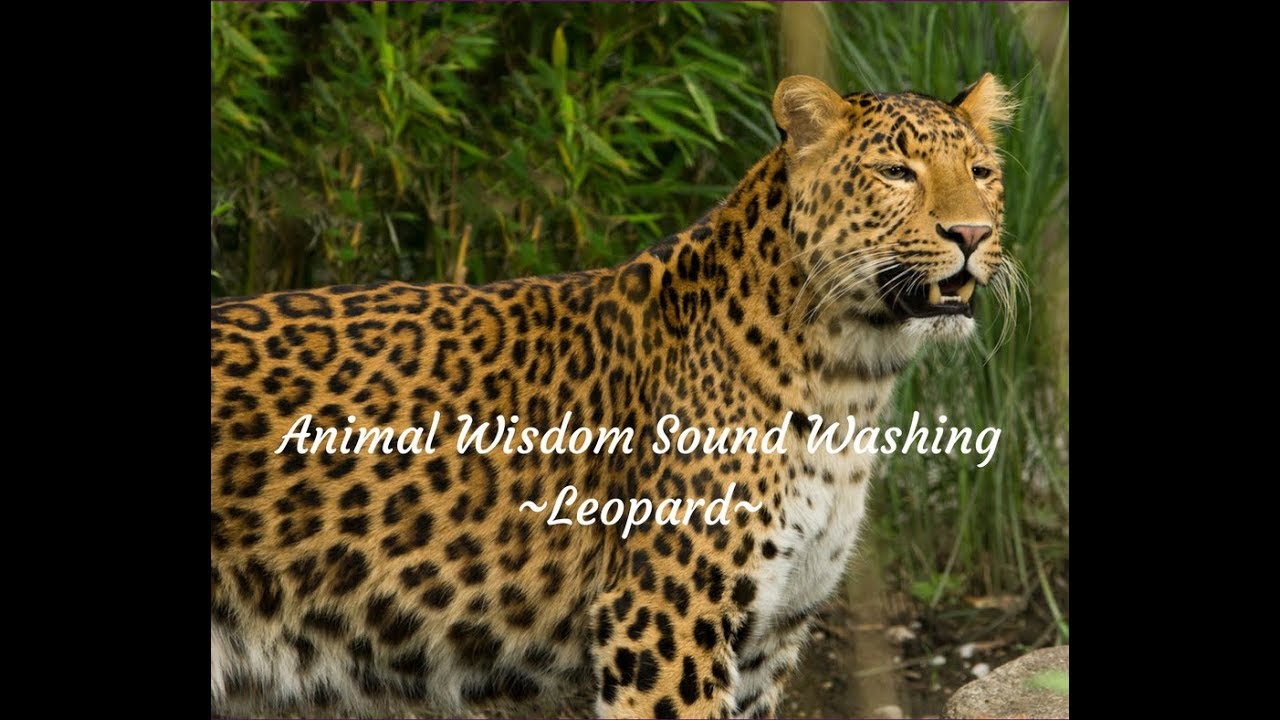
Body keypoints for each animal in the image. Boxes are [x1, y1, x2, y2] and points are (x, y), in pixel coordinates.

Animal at [210, 73, 1016, 718]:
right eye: (896, 171)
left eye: (981, 171)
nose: (972, 233)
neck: (852, 376)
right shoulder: (666, 617)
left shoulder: (769, 636)